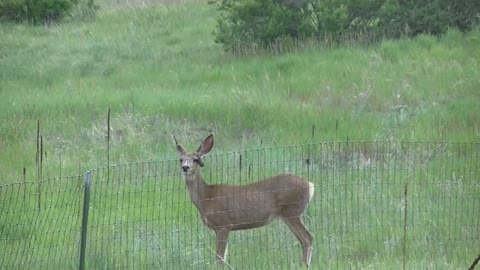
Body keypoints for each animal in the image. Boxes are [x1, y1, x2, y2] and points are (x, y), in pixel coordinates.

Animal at [172, 133, 316, 268]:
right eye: (181, 159)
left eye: (195, 159)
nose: (185, 167)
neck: (207, 198)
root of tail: (310, 185)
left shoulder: (224, 224)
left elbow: (219, 258)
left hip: (292, 211)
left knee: (307, 238)